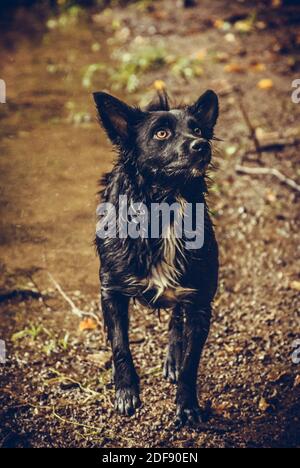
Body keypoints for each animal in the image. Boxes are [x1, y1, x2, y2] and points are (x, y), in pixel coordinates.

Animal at [92, 88, 219, 428]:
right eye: (161, 133)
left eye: (198, 129)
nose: (201, 145)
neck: (167, 207)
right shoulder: (111, 290)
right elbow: (120, 346)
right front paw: (126, 391)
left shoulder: (200, 302)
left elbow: (191, 362)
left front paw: (187, 405)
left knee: (176, 317)